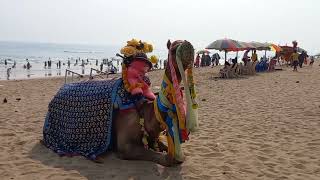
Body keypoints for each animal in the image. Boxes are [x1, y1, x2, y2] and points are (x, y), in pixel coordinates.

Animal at [41, 39, 199, 166]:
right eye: (173, 49)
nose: (189, 46)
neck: (145, 110)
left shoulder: (152, 134)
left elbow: (168, 150)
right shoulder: (125, 146)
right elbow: (167, 159)